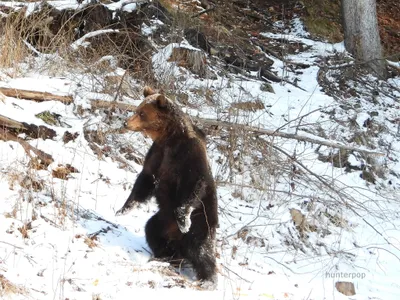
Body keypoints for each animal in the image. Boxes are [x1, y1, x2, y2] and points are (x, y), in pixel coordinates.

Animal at [115, 86, 219, 288]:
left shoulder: (188, 156)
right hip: (162, 220)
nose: (125, 123)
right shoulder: (157, 154)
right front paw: (123, 209)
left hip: (202, 221)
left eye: (142, 113)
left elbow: (194, 183)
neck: (169, 138)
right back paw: (165, 257)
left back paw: (207, 279)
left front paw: (183, 220)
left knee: (200, 249)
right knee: (152, 231)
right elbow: (145, 179)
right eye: (138, 109)